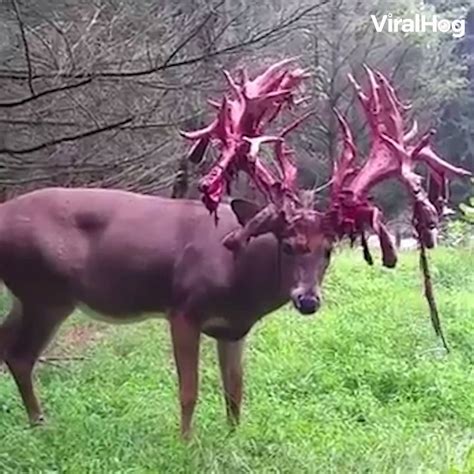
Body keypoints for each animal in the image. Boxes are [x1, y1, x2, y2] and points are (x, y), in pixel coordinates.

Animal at [0, 61, 468, 438]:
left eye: (329, 248)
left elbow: (235, 391)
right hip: (45, 291)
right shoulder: (182, 309)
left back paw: (37, 423)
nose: (308, 300)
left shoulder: (234, 329)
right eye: (288, 244)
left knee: (12, 348)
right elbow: (189, 390)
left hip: (34, 294)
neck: (238, 277)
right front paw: (186, 444)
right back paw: (41, 424)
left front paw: (232, 438)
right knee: (21, 353)